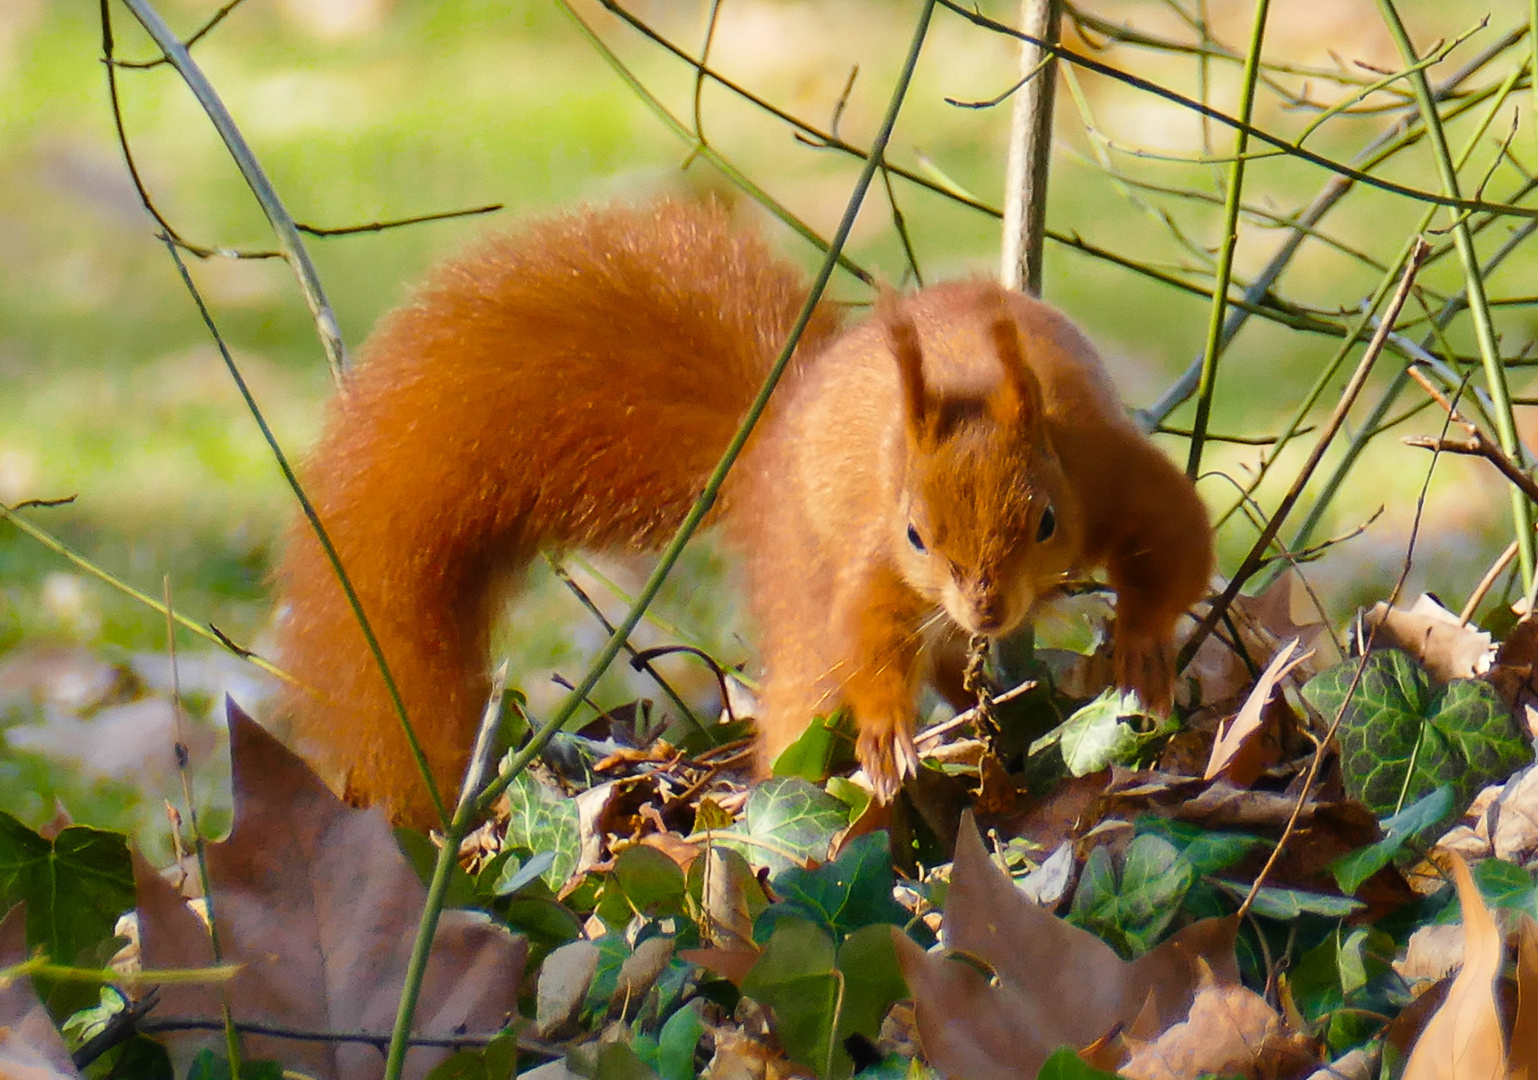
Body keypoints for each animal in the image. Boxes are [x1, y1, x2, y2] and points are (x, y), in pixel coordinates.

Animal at [273, 201, 1211, 830]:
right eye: (915, 532)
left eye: (1045, 522)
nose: (987, 606)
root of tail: (773, 436)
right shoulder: (873, 558)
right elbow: (865, 633)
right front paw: (885, 735)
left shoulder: (1111, 472)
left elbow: (1179, 548)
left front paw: (1143, 646)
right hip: (800, 563)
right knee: (811, 685)